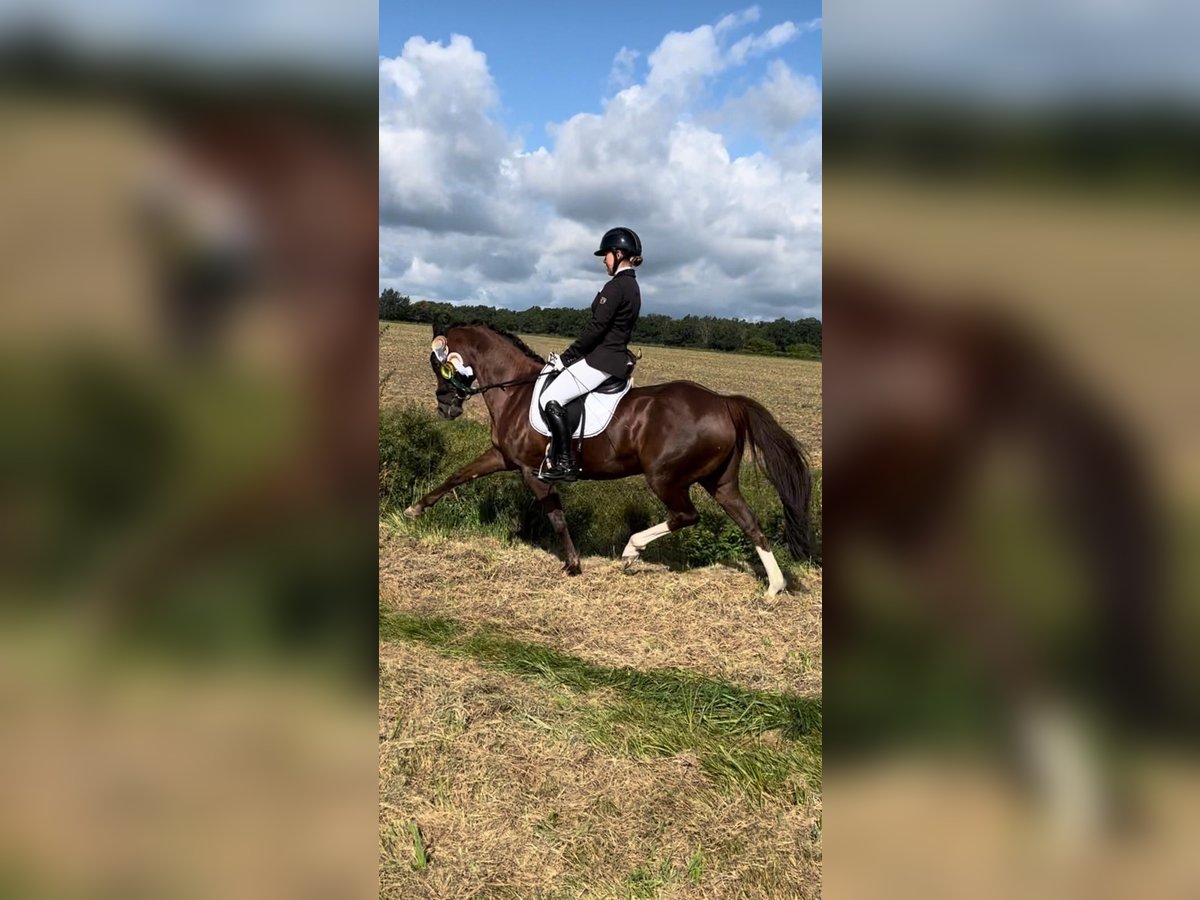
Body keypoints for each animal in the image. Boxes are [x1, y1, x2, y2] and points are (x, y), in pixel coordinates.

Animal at [403, 324, 816, 600]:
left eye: (437, 365)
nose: (446, 407)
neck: (515, 390)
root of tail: (724, 402)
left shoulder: (530, 470)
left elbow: (555, 515)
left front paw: (573, 564)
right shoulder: (503, 457)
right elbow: (458, 476)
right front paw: (413, 509)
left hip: (665, 477)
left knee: (686, 515)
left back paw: (632, 552)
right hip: (720, 481)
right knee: (750, 524)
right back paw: (774, 587)